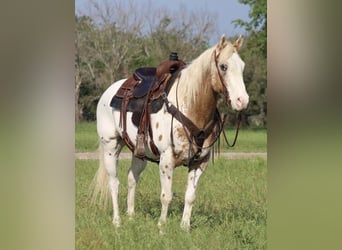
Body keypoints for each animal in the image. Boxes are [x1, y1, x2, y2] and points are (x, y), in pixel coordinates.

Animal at [92, 34, 250, 230]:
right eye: (223, 66)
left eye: (242, 66)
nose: (242, 100)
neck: (189, 104)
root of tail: (109, 91)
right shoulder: (166, 160)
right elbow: (166, 196)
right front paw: (162, 227)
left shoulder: (200, 162)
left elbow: (190, 197)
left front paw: (184, 228)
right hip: (110, 146)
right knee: (114, 183)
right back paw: (117, 221)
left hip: (139, 152)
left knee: (131, 178)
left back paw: (130, 217)